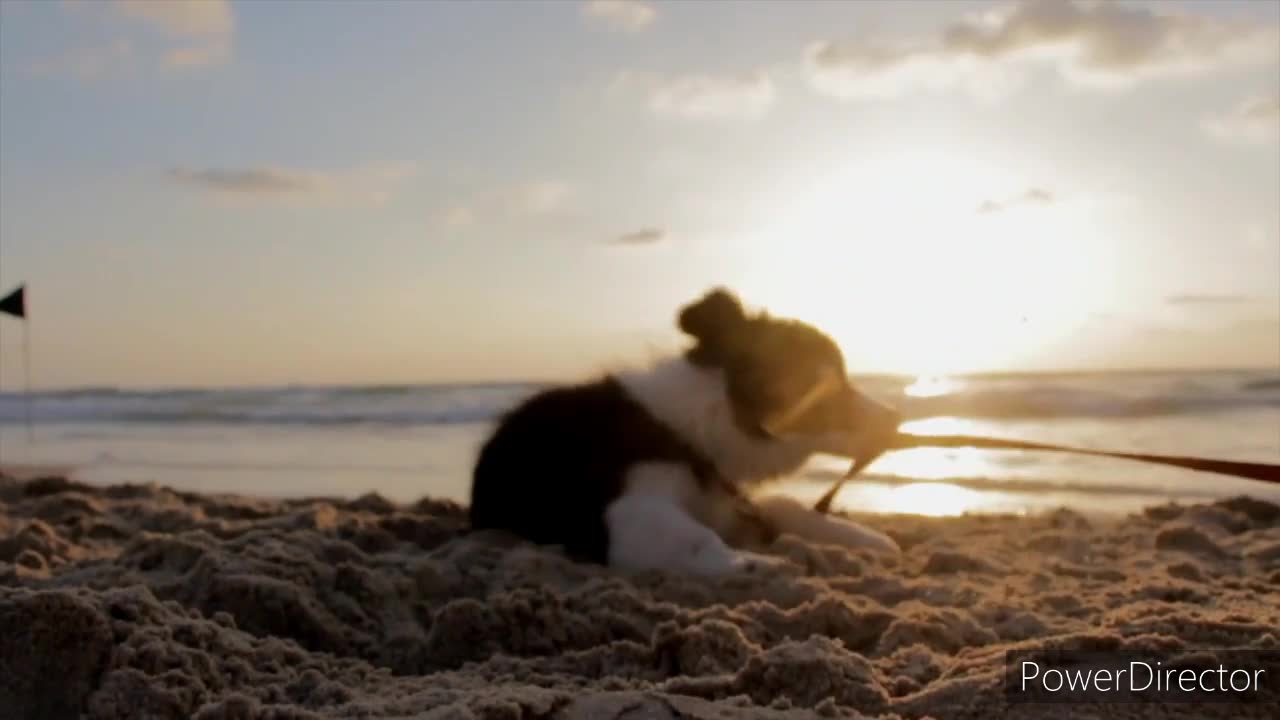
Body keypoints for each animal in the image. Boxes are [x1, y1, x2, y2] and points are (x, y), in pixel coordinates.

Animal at [471, 288, 901, 573]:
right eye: (833, 391)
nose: (896, 416)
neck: (699, 425)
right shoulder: (630, 511)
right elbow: (698, 539)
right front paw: (751, 563)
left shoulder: (728, 505)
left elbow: (788, 507)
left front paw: (864, 538)